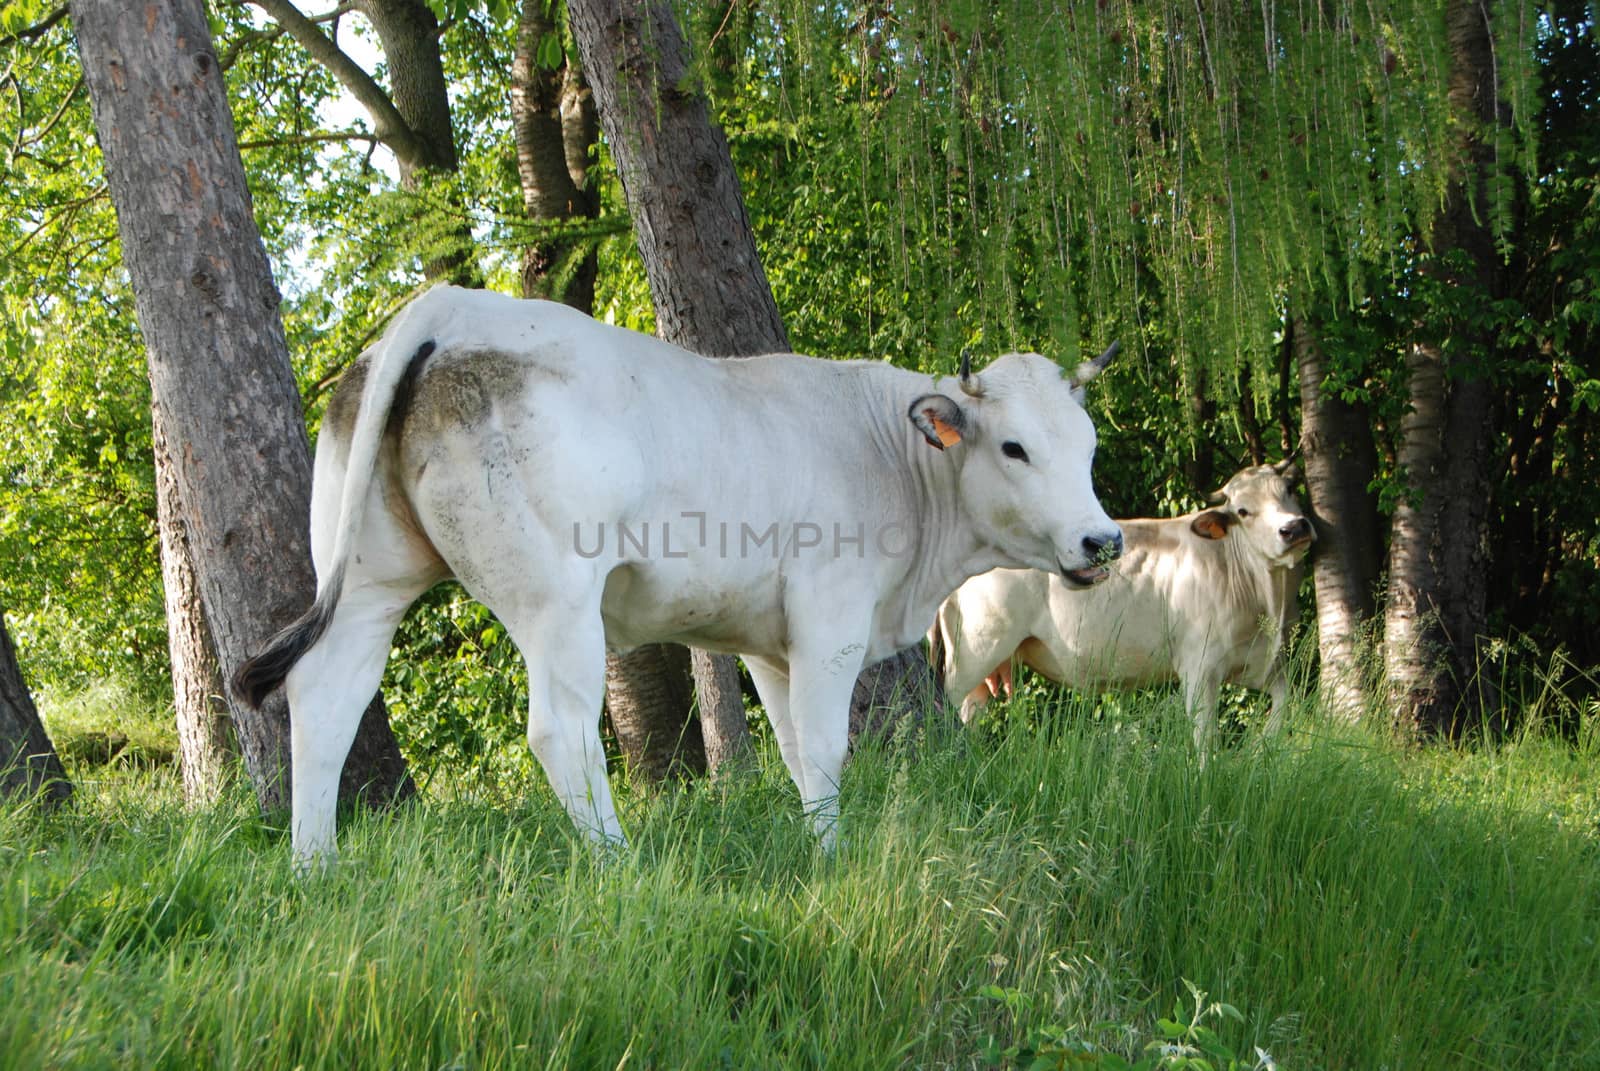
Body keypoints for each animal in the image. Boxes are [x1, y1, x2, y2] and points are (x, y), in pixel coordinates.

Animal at [233, 286, 1126, 870]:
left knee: (326, 696)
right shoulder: (830, 618)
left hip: (369, 578)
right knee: (559, 731)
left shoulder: (771, 644)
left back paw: (315, 868)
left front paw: (820, 847)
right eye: (1013, 446)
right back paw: (618, 866)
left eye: (1087, 444)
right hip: (558, 600)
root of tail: (448, 306)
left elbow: (797, 752)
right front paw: (835, 857)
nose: (1104, 539)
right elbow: (828, 745)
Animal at [928, 461, 1312, 752]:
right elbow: (1205, 739)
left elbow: (1284, 703)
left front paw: (1262, 748)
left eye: (1289, 490)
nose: (1293, 528)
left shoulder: (1263, 663)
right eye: (1243, 511)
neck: (1268, 599)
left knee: (971, 711)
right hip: (975, 651)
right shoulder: (1200, 667)